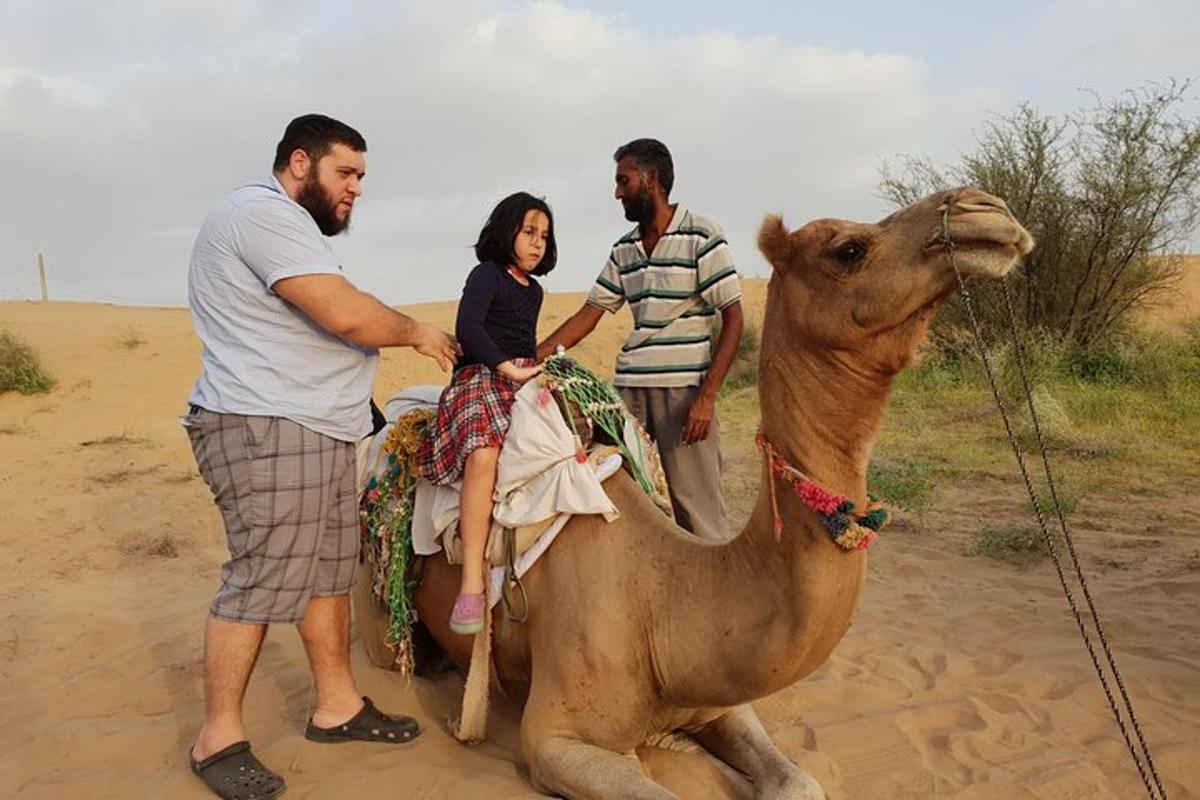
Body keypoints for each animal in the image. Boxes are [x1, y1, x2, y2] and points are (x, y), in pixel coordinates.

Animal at [355, 184, 1032, 796]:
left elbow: (800, 784)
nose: (988, 212)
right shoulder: (557, 739)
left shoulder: (721, 700)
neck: (664, 606)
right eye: (848, 248)